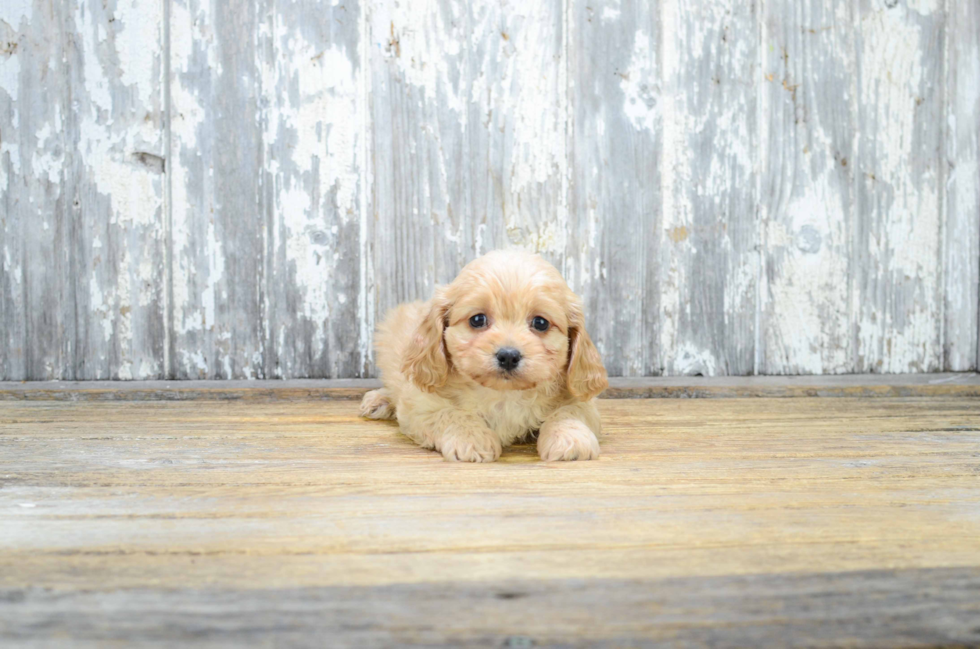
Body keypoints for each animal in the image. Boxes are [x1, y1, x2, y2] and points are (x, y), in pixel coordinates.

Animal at [358, 248, 604, 460]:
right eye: (477, 319)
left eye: (540, 323)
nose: (508, 356)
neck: (503, 395)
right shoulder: (420, 405)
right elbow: (450, 414)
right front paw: (471, 438)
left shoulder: (582, 400)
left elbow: (567, 412)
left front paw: (570, 439)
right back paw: (379, 399)